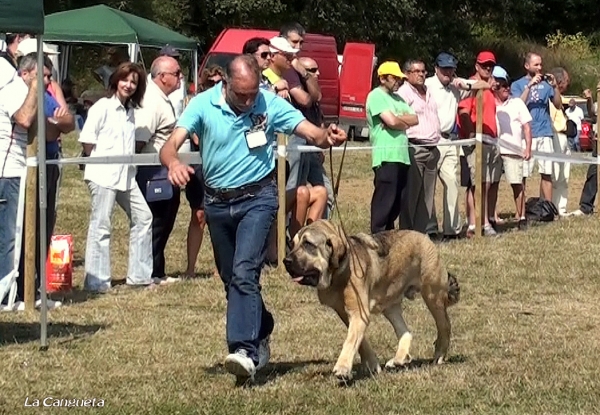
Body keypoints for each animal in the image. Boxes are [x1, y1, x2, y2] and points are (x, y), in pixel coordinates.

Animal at [284, 221, 462, 380]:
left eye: (308, 244)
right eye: (292, 244)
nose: (286, 261)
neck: (340, 271)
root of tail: (425, 237)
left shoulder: (358, 313)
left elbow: (351, 341)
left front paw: (342, 368)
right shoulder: (345, 312)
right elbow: (360, 341)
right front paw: (372, 364)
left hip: (432, 295)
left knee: (444, 325)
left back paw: (439, 355)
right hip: (389, 304)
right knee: (405, 331)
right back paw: (399, 359)